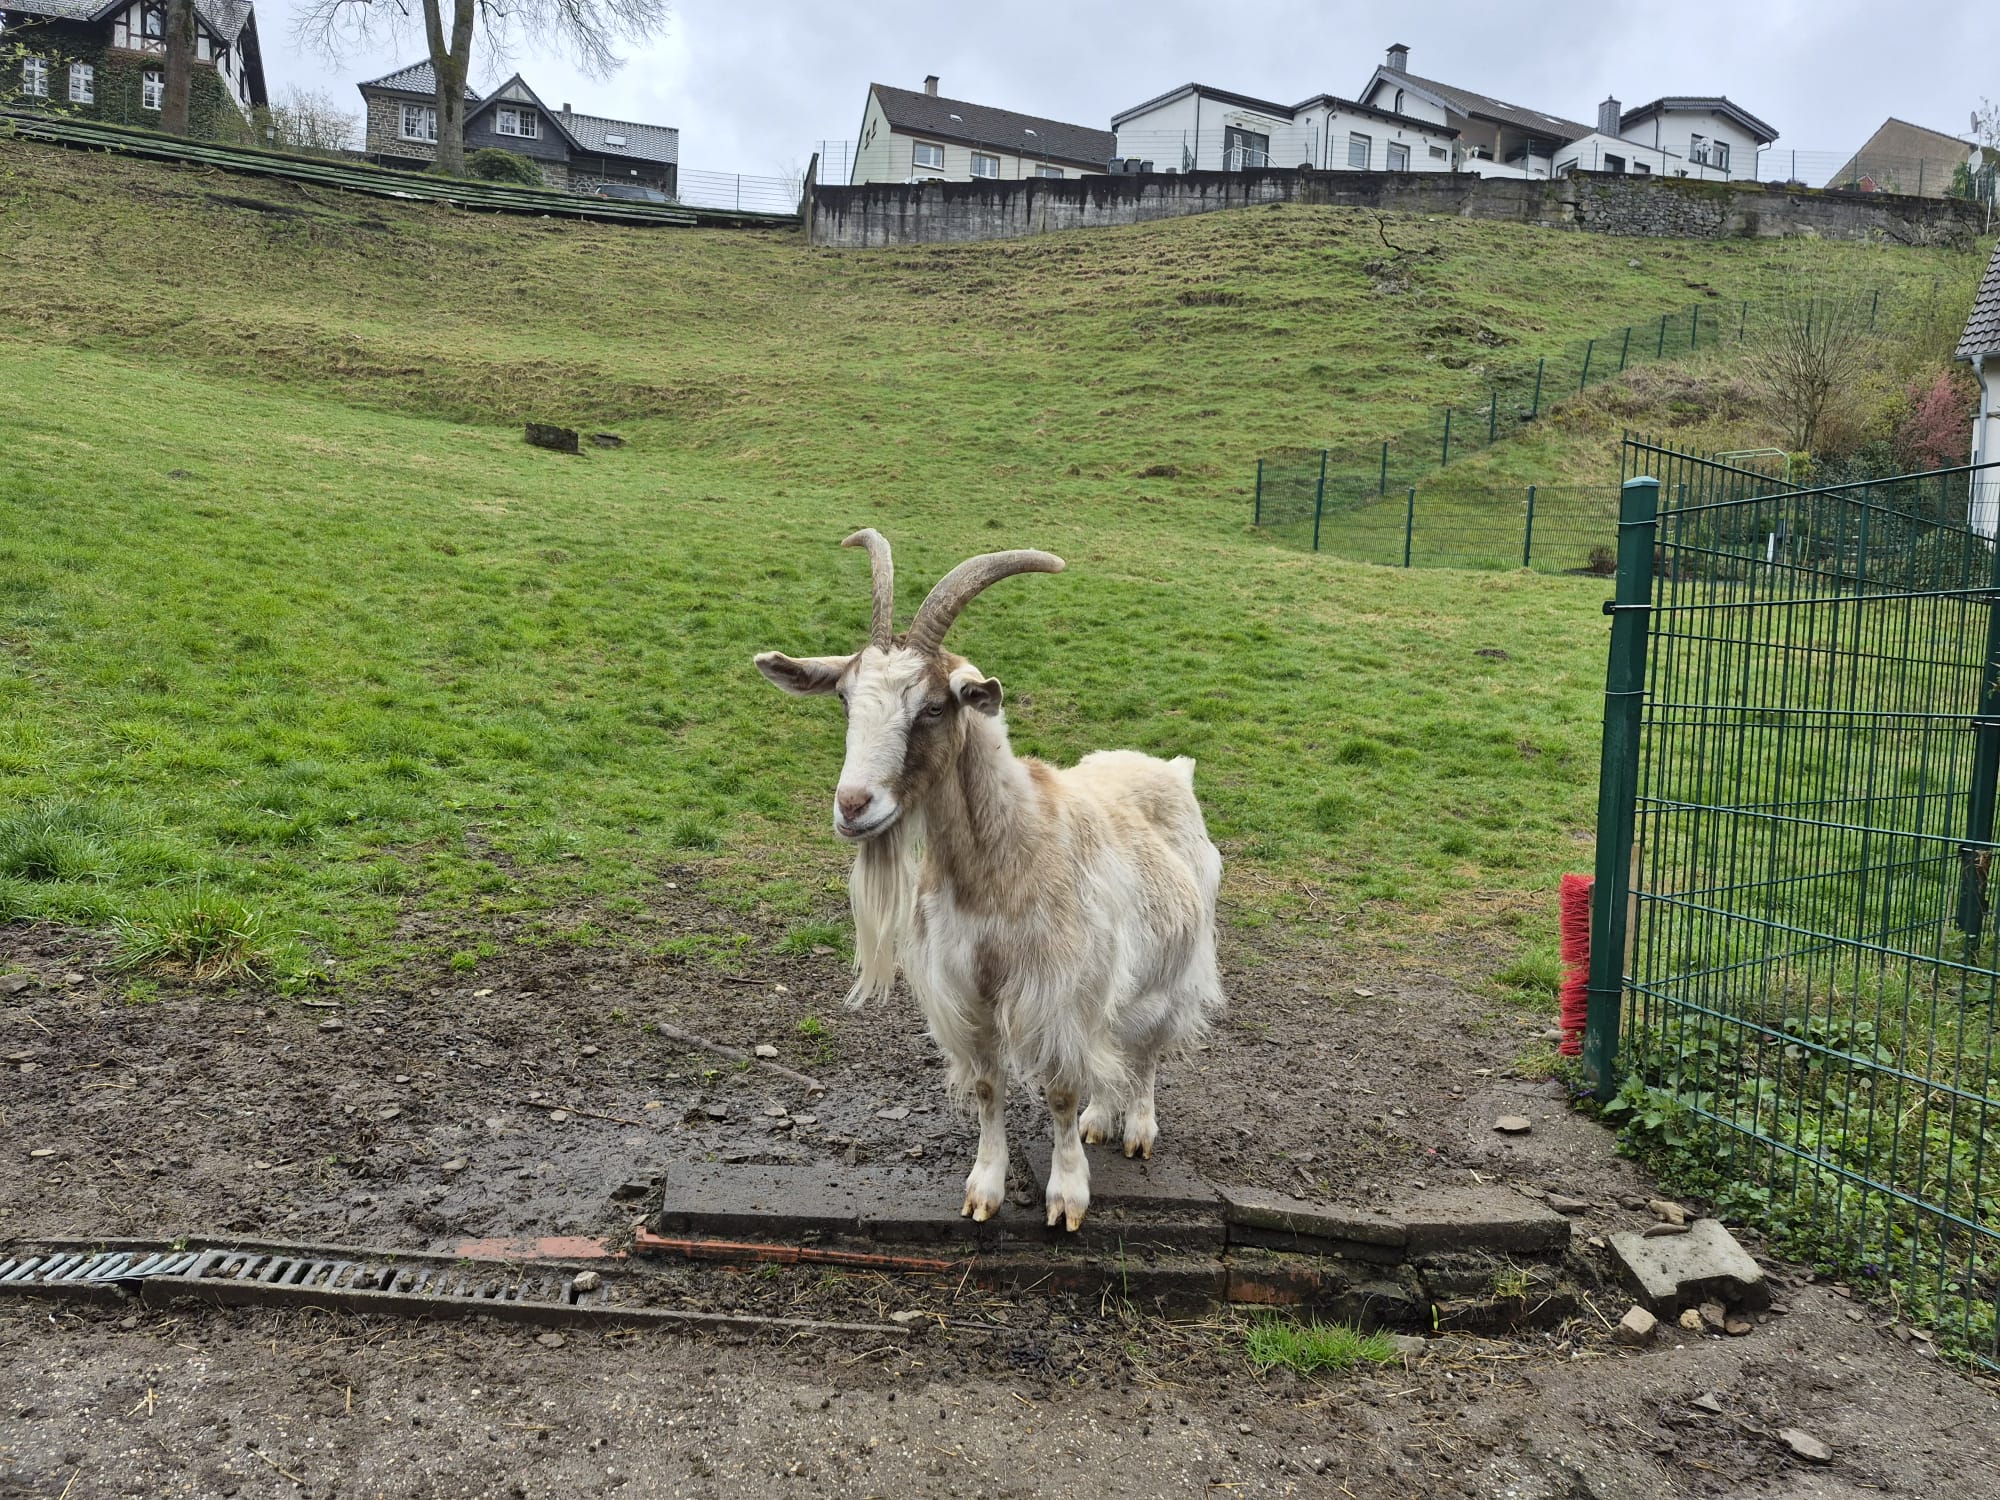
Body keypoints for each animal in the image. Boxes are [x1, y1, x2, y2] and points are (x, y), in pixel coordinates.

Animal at [754, 530, 1224, 1230]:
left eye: (931, 707)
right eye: (844, 699)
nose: (853, 806)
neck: (1002, 860)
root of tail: (1169, 768)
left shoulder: (1056, 989)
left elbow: (1060, 1088)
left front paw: (1066, 1197)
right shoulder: (965, 990)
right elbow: (986, 1085)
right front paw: (984, 1188)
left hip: (1173, 967)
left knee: (1146, 1048)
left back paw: (1137, 1127)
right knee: (1111, 1042)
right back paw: (1101, 1120)